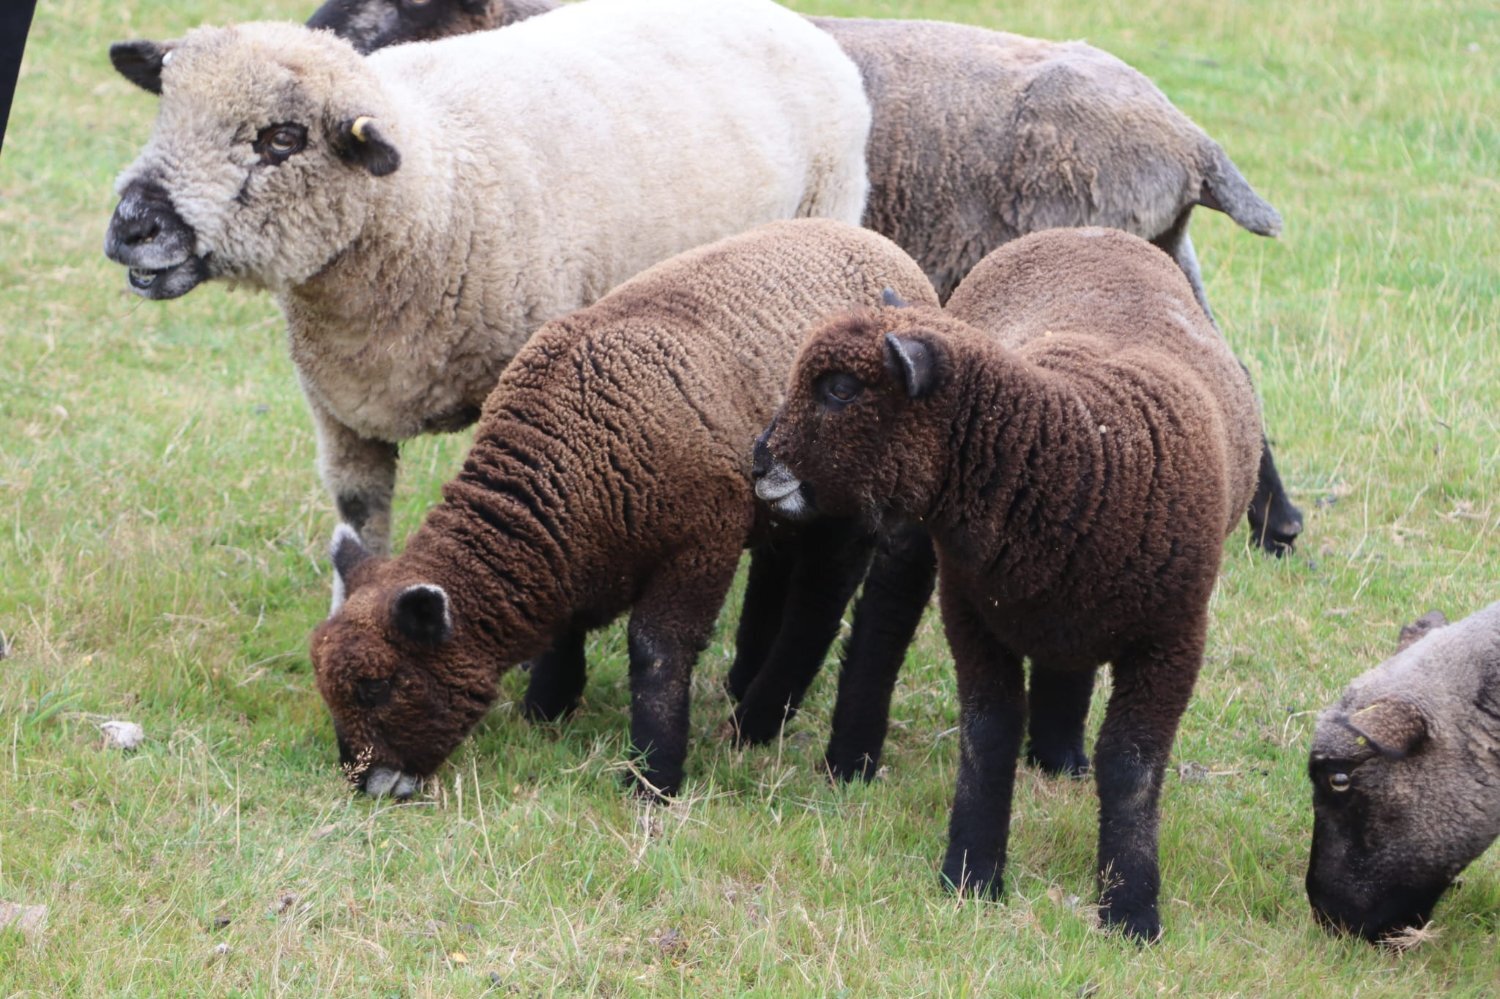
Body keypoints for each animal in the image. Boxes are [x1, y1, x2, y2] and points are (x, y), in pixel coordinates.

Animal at [102, 0, 871, 553]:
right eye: (167, 108)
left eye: (281, 139)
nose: (132, 226)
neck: (434, 180)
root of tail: (788, 17)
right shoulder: (342, 414)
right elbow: (360, 537)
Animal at [309, 218, 940, 800]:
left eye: (375, 687)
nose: (364, 785)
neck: (567, 464)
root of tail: (880, 246)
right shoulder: (574, 555)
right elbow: (563, 632)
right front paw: (547, 711)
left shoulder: (700, 543)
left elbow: (657, 652)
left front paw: (654, 776)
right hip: (783, 507)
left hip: (845, 503)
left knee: (819, 599)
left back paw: (757, 722)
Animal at [753, 227, 1265, 941]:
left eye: (840, 389)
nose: (758, 459)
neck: (1081, 456)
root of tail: (1082, 230)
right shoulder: (971, 615)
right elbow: (987, 735)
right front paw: (970, 875)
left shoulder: (1174, 637)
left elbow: (1132, 767)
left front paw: (1131, 910)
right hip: (916, 539)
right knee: (883, 626)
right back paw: (851, 760)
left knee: (1062, 661)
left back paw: (1059, 758)